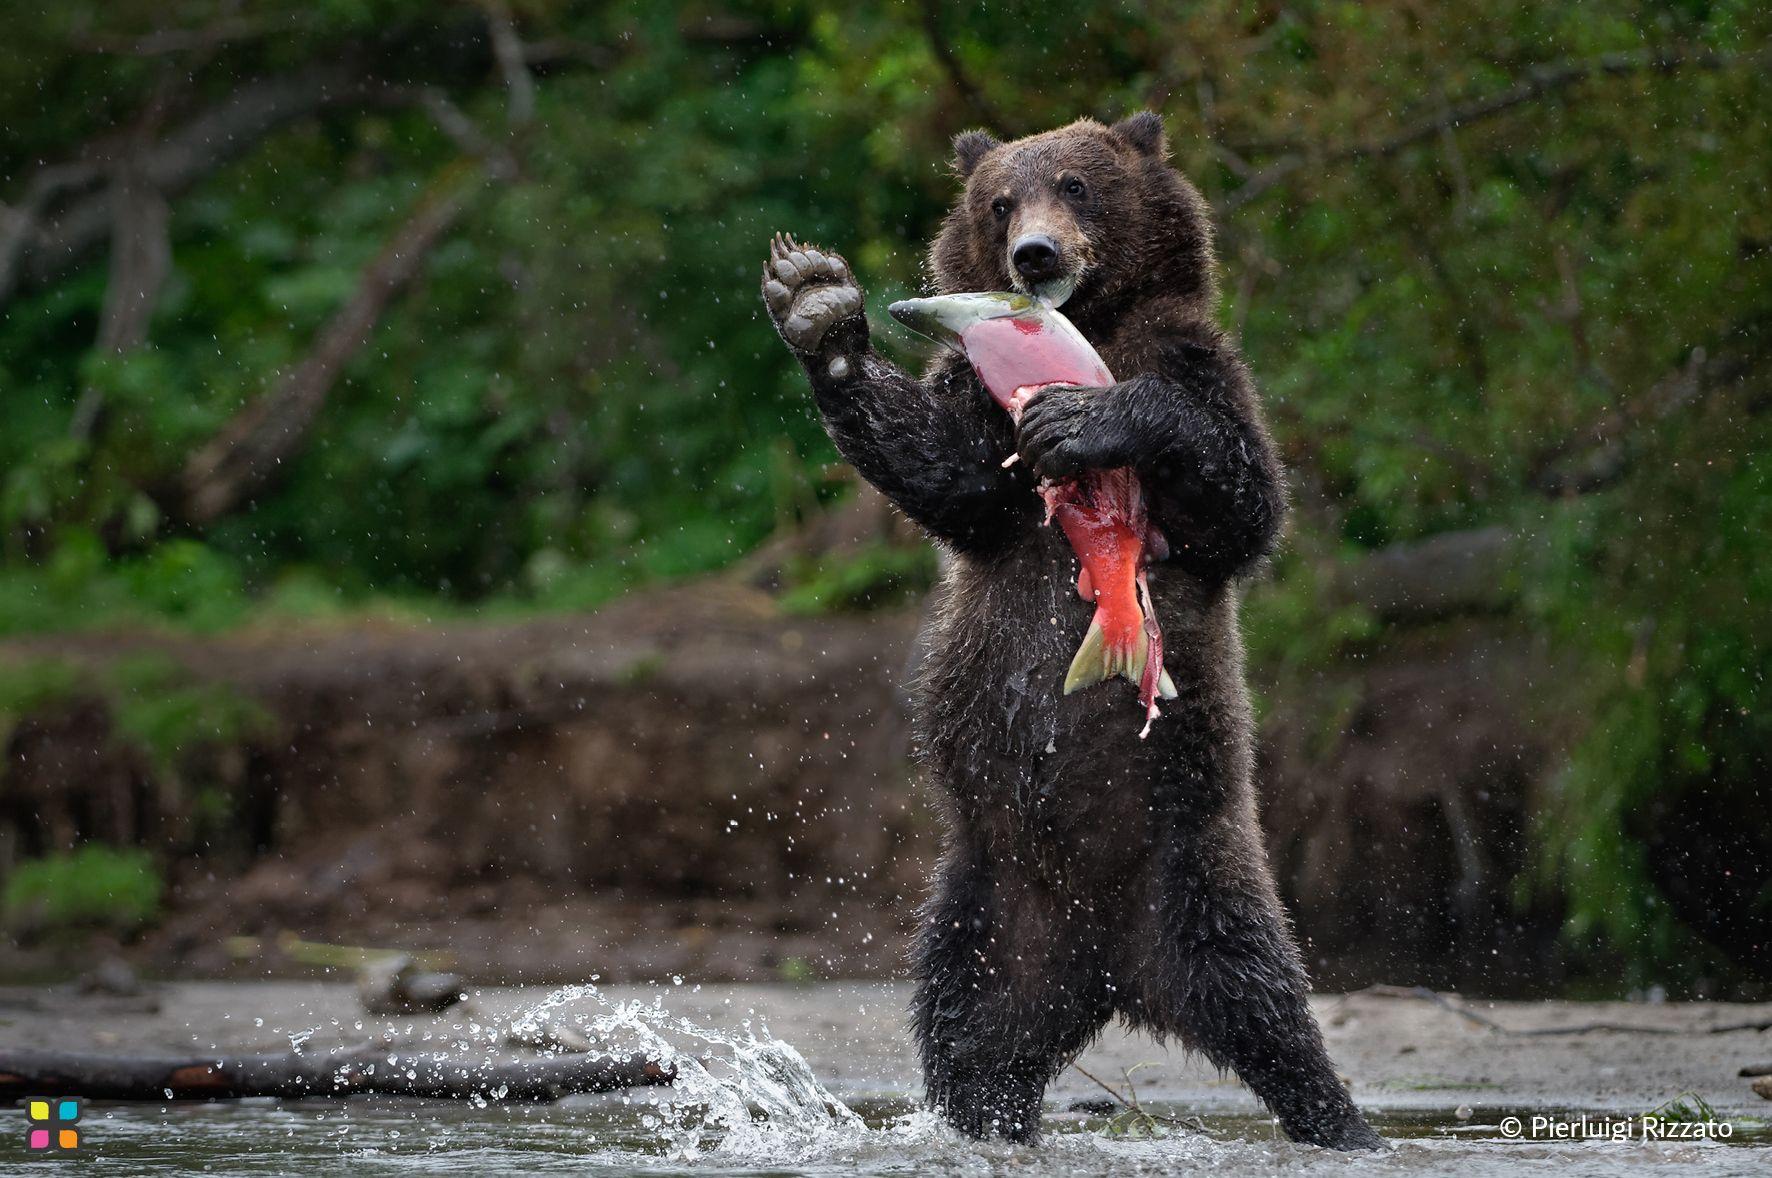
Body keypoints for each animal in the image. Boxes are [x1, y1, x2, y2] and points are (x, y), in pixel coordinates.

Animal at [761, 112, 1380, 1151]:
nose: (1035, 253)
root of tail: (1112, 969)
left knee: (1270, 1006)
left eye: (1079, 184)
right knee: (969, 1025)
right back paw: (977, 1118)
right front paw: (817, 304)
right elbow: (939, 467)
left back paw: (1342, 1121)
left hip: (1195, 860)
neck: (1091, 324)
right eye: (1001, 201)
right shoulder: (977, 428)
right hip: (990, 897)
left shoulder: (1196, 364)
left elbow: (1242, 495)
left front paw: (1088, 416)